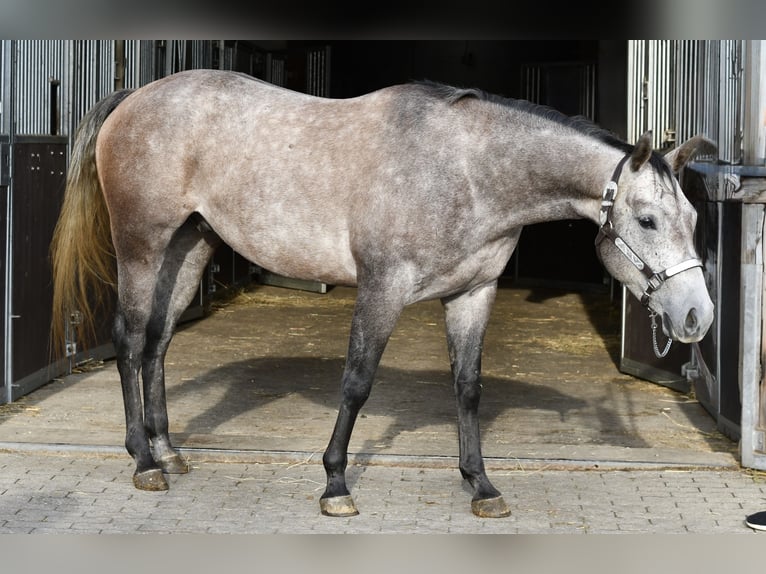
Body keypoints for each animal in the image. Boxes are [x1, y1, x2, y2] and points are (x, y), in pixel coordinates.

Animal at [50, 69, 715, 518]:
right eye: (648, 220)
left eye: (693, 218)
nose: (697, 317)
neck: (466, 171)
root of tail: (134, 97)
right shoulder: (382, 288)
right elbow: (357, 382)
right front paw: (335, 485)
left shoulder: (473, 293)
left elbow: (467, 389)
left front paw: (481, 485)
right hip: (142, 244)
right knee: (129, 340)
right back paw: (142, 461)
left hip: (189, 247)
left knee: (158, 342)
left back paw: (168, 451)